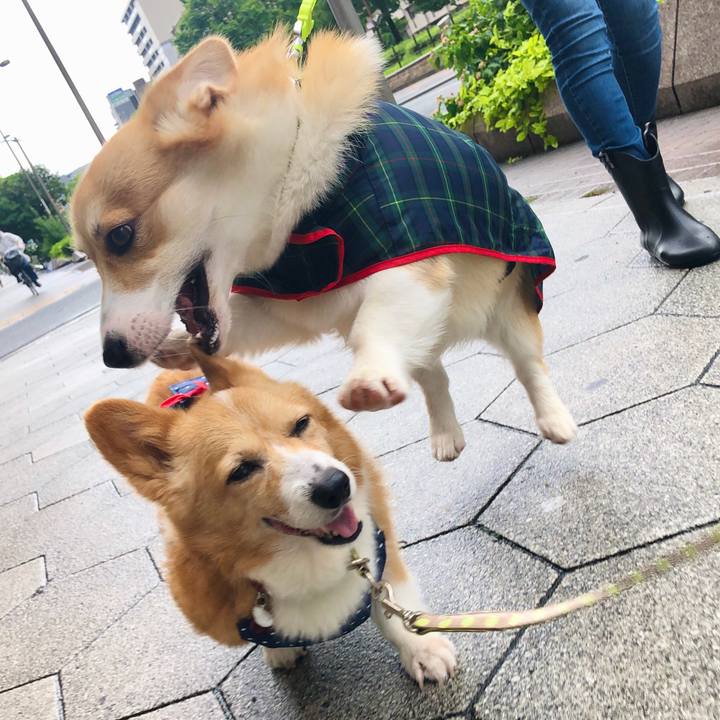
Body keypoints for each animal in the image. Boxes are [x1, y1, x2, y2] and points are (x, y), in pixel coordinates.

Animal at [72, 31, 576, 461]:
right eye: (88, 256)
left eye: (120, 236)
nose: (113, 355)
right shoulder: (291, 301)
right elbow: (246, 324)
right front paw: (178, 347)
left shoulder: (410, 263)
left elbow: (376, 322)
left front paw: (368, 379)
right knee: (432, 373)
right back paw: (446, 435)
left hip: (510, 309)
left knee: (528, 365)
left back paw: (555, 420)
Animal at [84, 349, 457, 684]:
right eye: (241, 470)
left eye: (301, 424)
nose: (336, 486)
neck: (305, 557)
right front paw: (279, 650)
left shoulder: (378, 549)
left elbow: (389, 601)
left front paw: (421, 651)